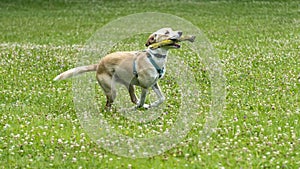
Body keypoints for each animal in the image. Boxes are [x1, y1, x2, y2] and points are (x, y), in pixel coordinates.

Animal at [53, 27, 195, 109]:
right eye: (166, 32)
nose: (181, 32)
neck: (155, 57)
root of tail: (99, 64)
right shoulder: (145, 85)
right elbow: (143, 100)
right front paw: (143, 106)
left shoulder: (154, 83)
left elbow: (161, 98)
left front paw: (152, 104)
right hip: (111, 89)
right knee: (108, 104)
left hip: (129, 84)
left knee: (133, 98)